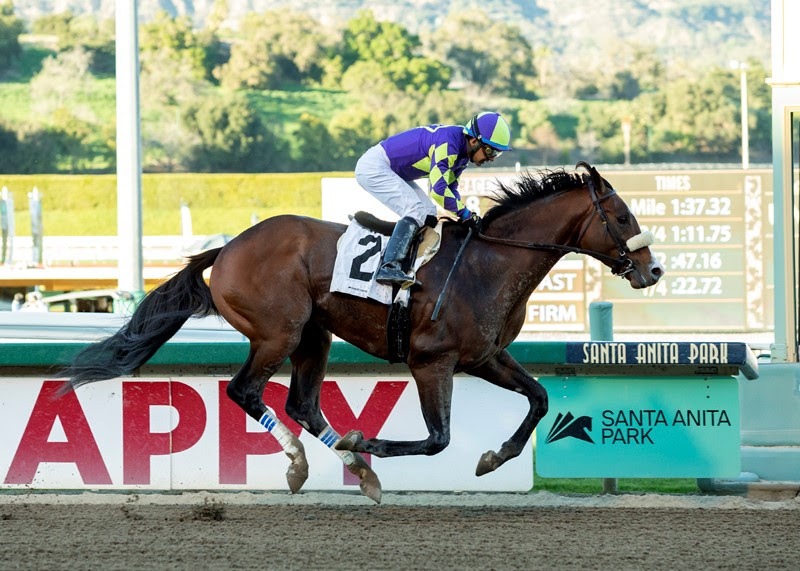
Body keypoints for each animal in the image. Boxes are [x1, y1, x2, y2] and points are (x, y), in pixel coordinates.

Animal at [59, 162, 664, 504]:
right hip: (278, 334)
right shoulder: (432, 362)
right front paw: (366, 442)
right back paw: (311, 461)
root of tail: (227, 248)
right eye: (623, 217)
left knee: (302, 403)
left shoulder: (485, 357)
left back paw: (349, 469)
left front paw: (494, 457)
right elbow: (437, 438)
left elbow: (538, 398)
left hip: (314, 337)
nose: (653, 270)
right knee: (246, 391)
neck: (487, 264)